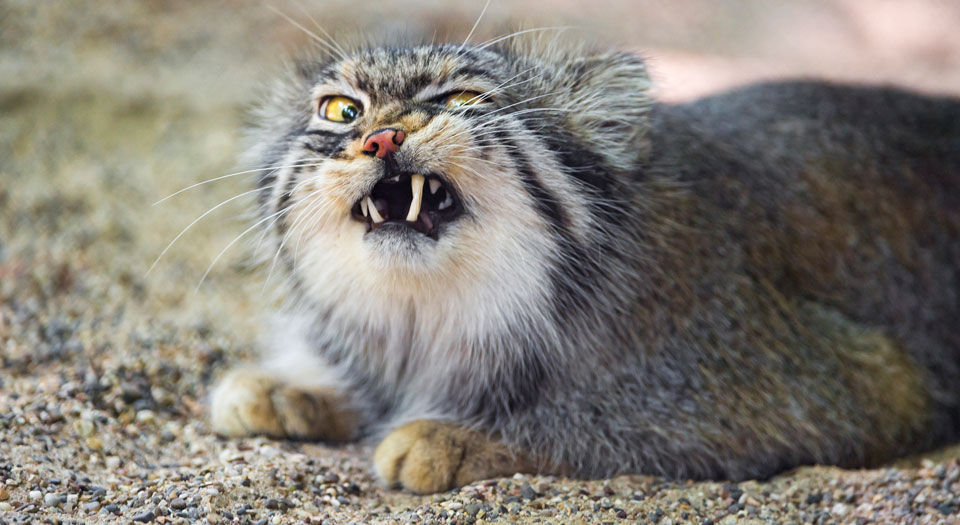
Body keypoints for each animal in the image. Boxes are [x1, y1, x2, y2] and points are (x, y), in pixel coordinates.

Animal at [208, 35, 960, 492]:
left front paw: (454, 435)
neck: (435, 317)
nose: (381, 137)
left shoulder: (854, 378)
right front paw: (295, 385)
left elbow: (610, 418)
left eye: (462, 100)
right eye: (342, 110)